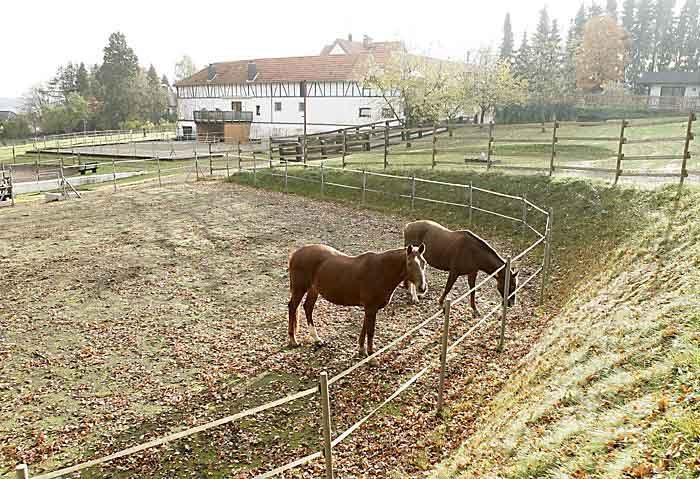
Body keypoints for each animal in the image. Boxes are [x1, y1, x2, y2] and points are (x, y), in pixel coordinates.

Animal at [288, 244, 430, 360]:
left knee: (308, 308)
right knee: (293, 307)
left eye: (424, 263)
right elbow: (370, 331)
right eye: (409, 263)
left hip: (313, 289)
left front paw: (362, 350)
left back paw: (317, 339)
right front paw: (371, 356)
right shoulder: (371, 308)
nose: (422, 288)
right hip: (300, 289)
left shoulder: (370, 308)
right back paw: (293, 340)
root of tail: (296, 253)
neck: (381, 271)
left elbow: (365, 327)